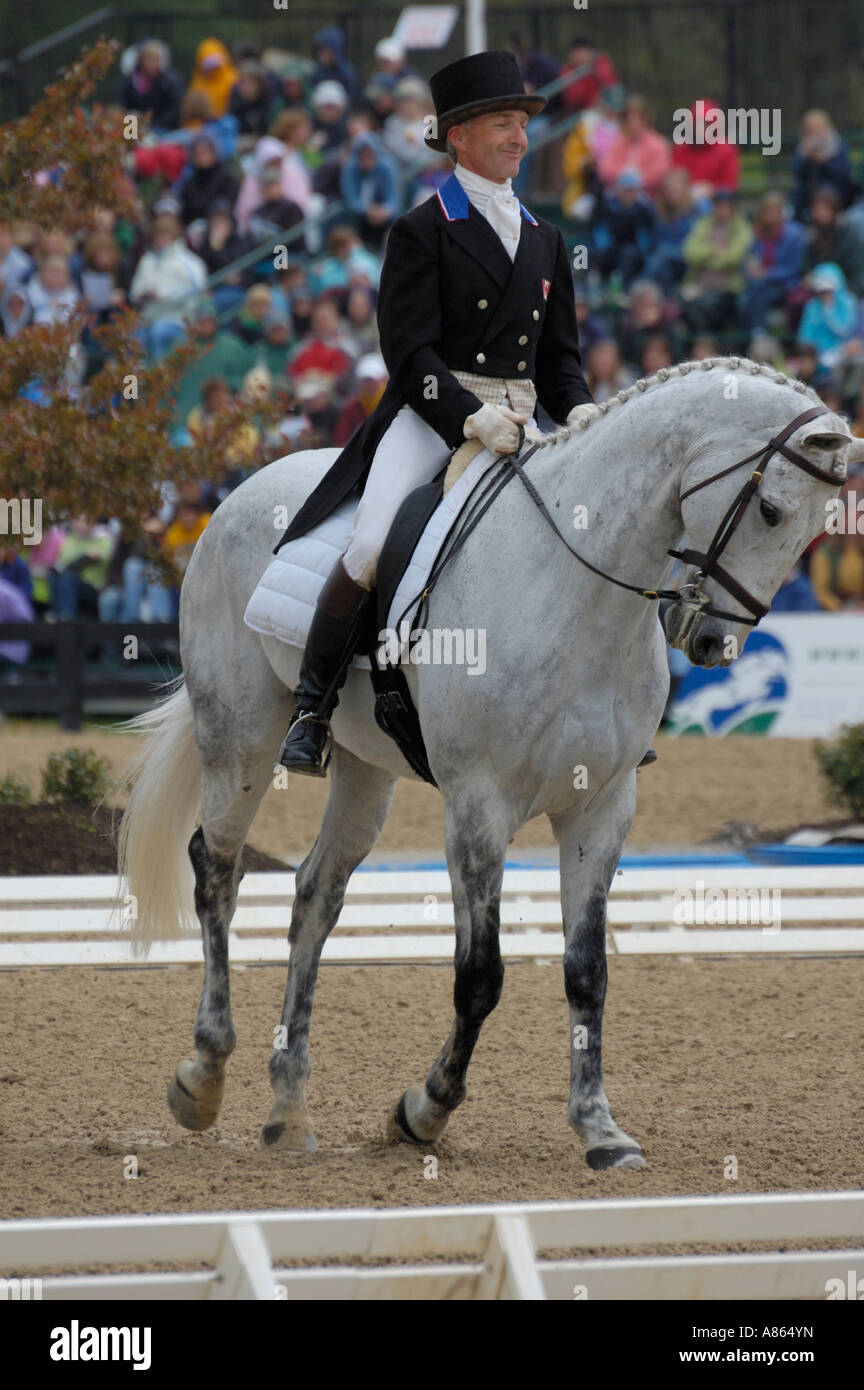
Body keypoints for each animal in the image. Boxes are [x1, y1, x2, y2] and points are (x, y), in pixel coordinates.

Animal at [118, 361, 861, 1173]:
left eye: (820, 529)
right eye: (769, 510)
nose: (710, 644)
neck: (578, 594)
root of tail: (242, 492)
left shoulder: (602, 807)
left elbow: (587, 971)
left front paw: (600, 1129)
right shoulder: (478, 806)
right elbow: (480, 976)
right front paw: (424, 1111)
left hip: (365, 770)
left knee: (315, 894)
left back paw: (289, 1108)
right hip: (241, 737)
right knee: (216, 872)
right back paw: (203, 1076)